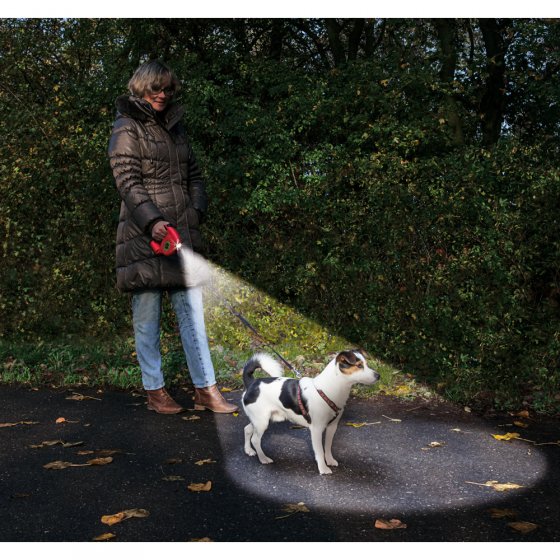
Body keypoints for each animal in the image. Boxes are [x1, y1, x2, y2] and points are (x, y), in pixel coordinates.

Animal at [241, 350, 380, 472]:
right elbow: (319, 451)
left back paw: (249, 450)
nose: (378, 376)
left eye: (366, 364)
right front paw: (323, 469)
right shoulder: (317, 429)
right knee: (255, 440)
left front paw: (329, 460)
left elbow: (327, 447)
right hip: (262, 422)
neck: (330, 390)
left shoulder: (332, 427)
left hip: (260, 420)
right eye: (359, 366)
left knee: (247, 429)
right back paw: (263, 458)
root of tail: (252, 383)